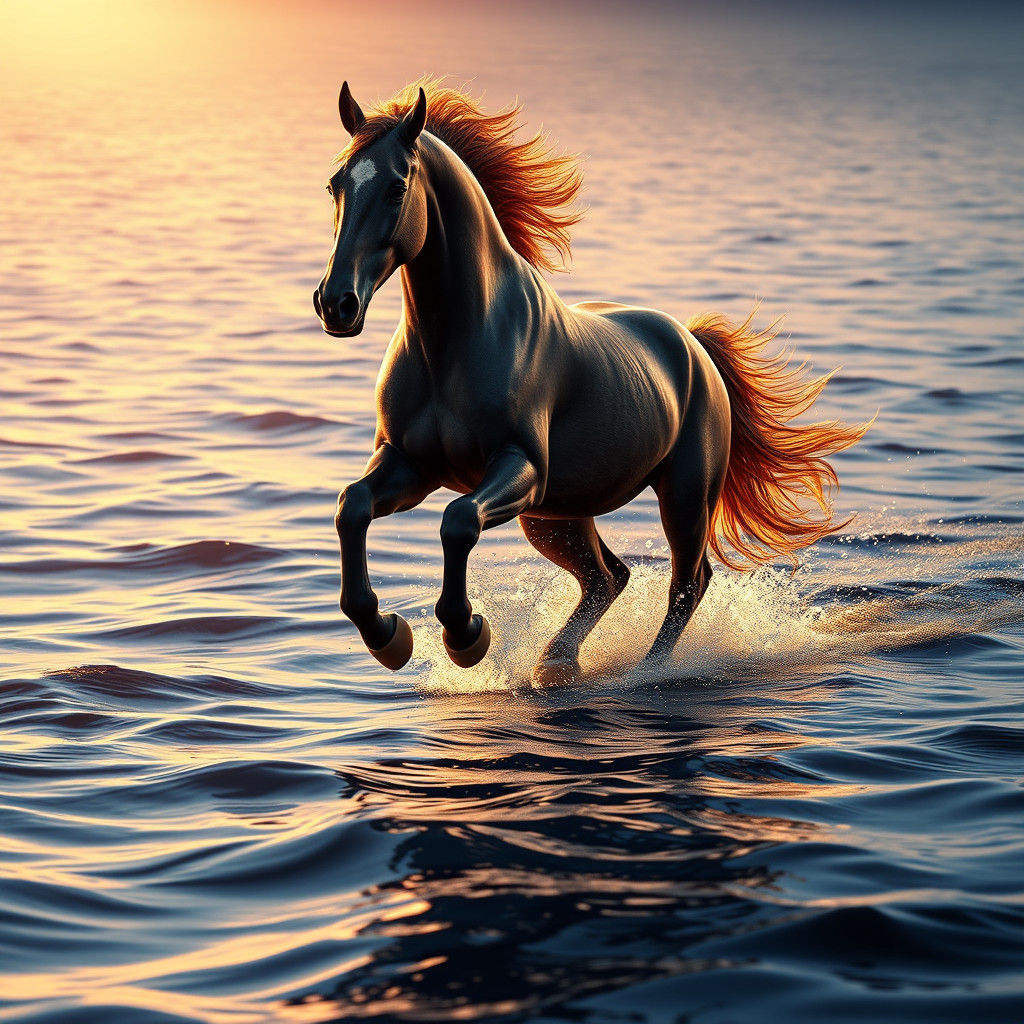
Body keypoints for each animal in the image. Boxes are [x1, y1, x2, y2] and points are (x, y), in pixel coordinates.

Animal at [313, 79, 868, 686]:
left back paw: (645, 671)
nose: (335, 304)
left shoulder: (520, 468)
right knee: (608, 576)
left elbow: (457, 522)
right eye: (335, 184)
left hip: (681, 497)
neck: (452, 346)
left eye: (396, 188)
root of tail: (694, 345)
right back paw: (557, 664)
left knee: (686, 583)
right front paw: (388, 635)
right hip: (558, 516)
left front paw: (466, 636)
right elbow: (351, 506)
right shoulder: (410, 465)